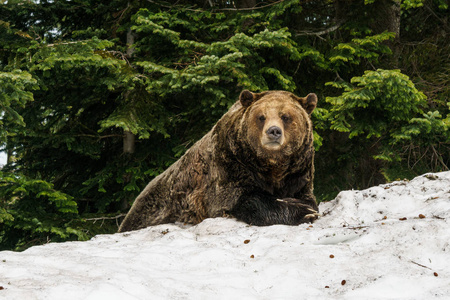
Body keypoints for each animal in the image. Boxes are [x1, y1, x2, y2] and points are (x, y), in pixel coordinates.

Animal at [118, 89, 318, 232]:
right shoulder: (230, 162)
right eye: (261, 117)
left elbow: (305, 195)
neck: (271, 166)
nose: (273, 131)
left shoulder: (298, 170)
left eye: (286, 116)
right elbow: (242, 198)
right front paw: (303, 211)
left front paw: (305, 206)